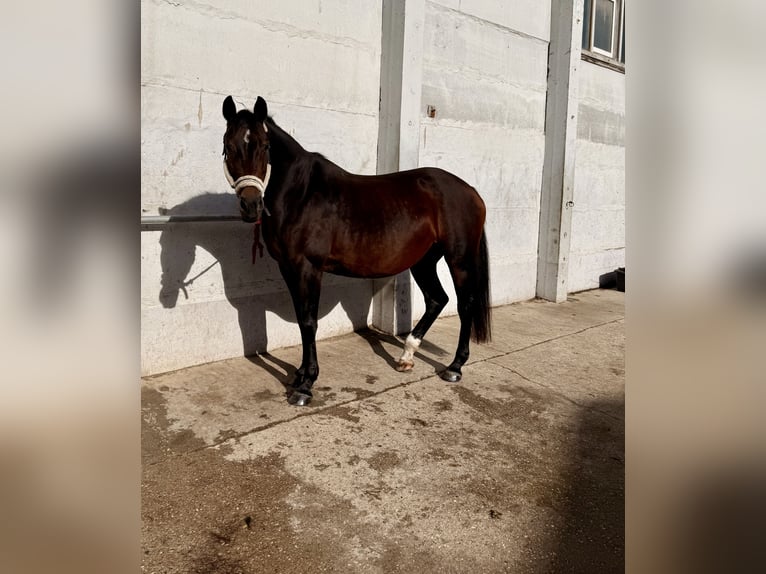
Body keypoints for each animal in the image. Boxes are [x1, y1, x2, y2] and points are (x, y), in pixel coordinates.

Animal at [222, 95, 491, 406]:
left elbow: (309, 321)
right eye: (228, 145)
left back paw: (455, 367)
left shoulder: (308, 268)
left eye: (265, 146)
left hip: (459, 259)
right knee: (437, 299)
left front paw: (306, 384)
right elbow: (302, 319)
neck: (300, 194)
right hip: (423, 260)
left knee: (464, 304)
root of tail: (471, 191)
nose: (251, 205)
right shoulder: (287, 267)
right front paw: (299, 374)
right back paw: (407, 356)